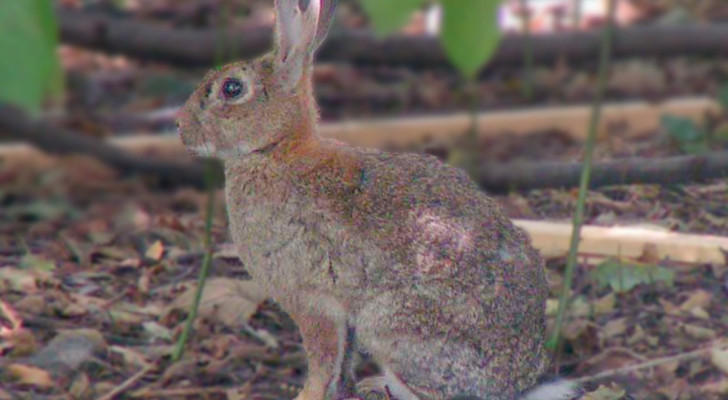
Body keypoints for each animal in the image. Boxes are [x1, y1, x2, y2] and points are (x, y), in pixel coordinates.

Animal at [176, 0, 576, 400]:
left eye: (232, 88)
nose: (181, 128)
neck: (273, 150)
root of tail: (516, 384)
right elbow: (341, 363)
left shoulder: (311, 301)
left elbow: (322, 361)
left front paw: (305, 395)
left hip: (392, 325)